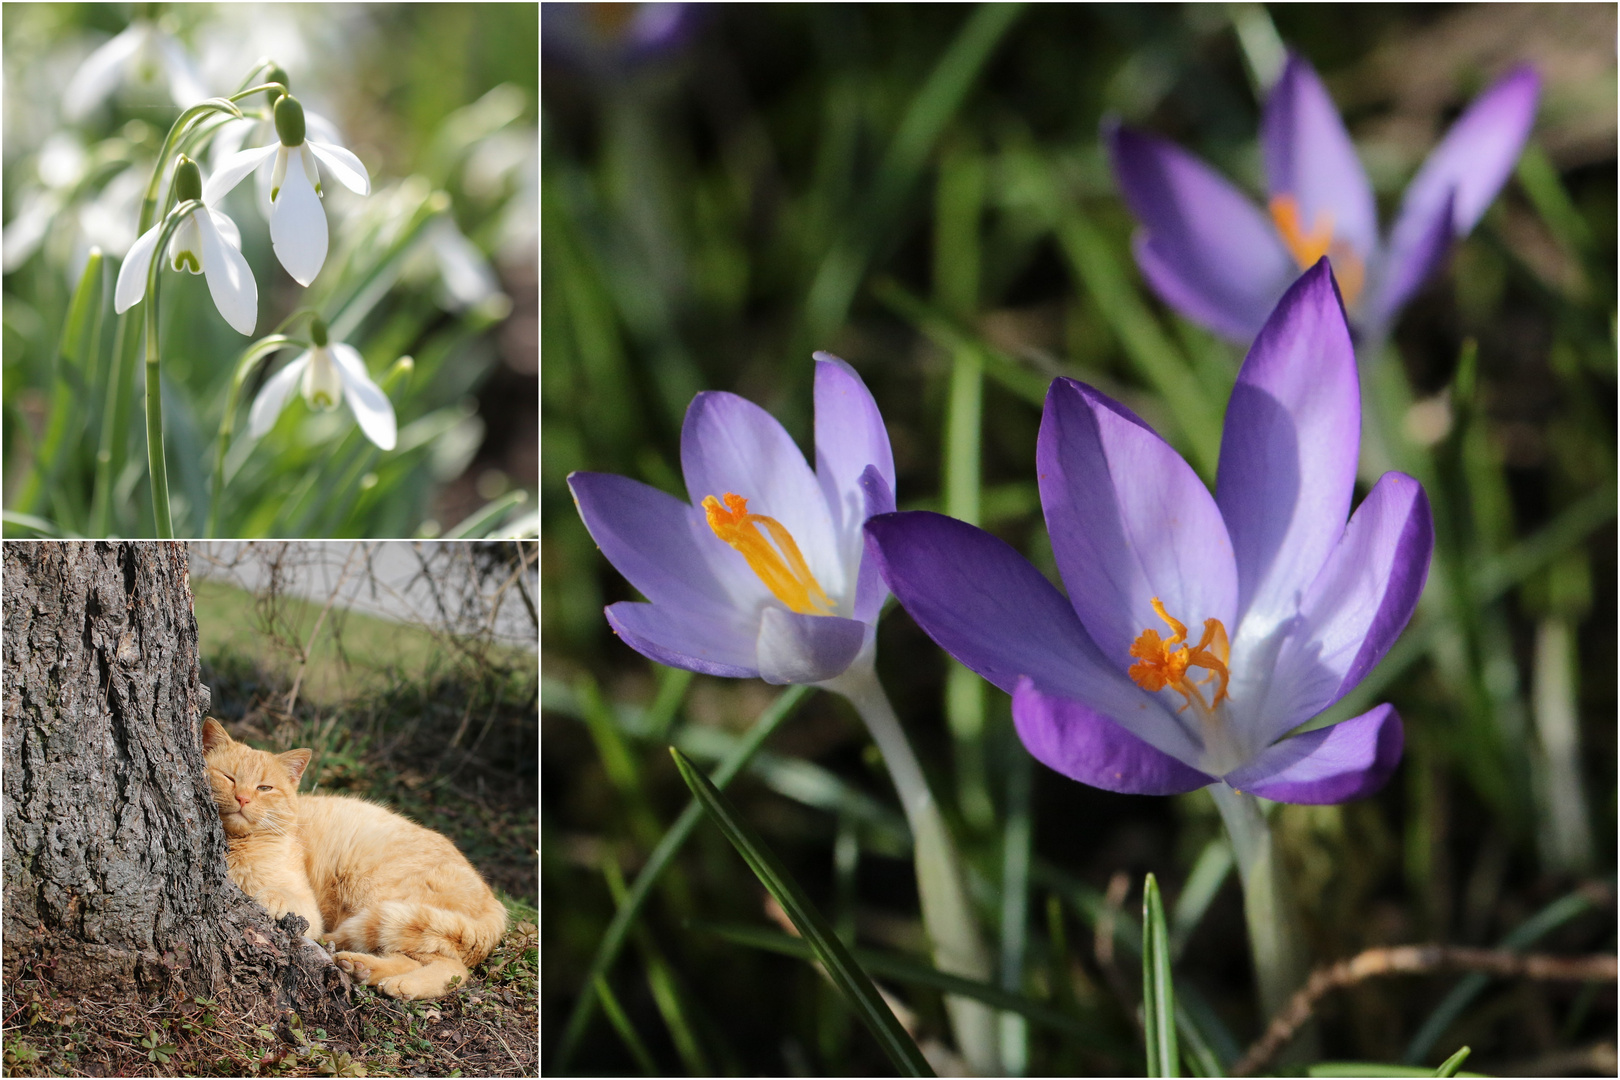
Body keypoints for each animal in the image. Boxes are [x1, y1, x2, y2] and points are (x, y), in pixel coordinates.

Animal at [200, 722, 505, 1003]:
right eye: (228, 778)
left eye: (264, 788)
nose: (243, 798)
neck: (237, 844)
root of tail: (494, 901)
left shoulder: (310, 914)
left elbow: (282, 895)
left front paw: (272, 898)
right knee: (419, 959)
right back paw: (362, 968)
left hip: (378, 897)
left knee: (453, 968)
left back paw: (397, 982)